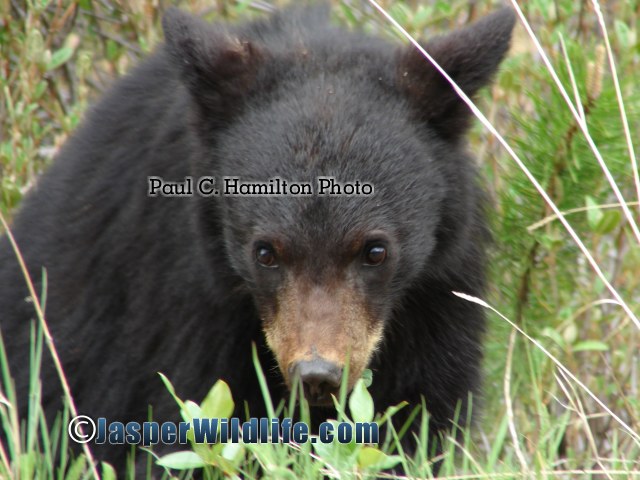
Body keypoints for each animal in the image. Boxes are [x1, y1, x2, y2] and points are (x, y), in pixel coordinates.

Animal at [0, 3, 515, 474]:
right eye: (265, 252)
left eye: (375, 250)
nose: (318, 376)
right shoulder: (186, 308)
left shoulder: (437, 297)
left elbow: (422, 414)